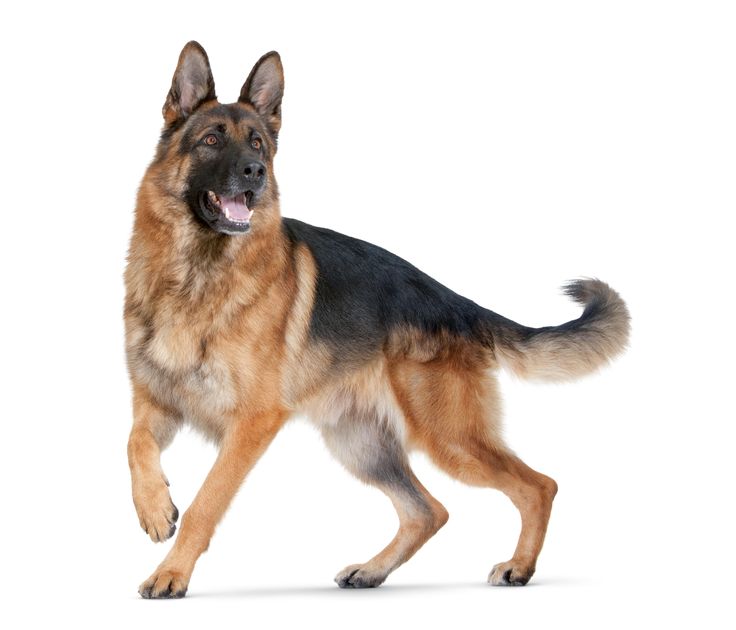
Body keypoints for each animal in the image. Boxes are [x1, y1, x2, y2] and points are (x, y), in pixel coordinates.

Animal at [123, 42, 628, 600]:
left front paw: (171, 572)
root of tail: (460, 305)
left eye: (258, 143)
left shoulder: (251, 423)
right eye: (211, 139)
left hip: (449, 439)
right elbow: (134, 445)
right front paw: (153, 508)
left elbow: (205, 503)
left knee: (538, 485)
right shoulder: (156, 403)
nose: (255, 171)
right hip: (363, 445)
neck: (195, 274)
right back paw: (373, 570)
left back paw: (520, 566)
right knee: (428, 511)